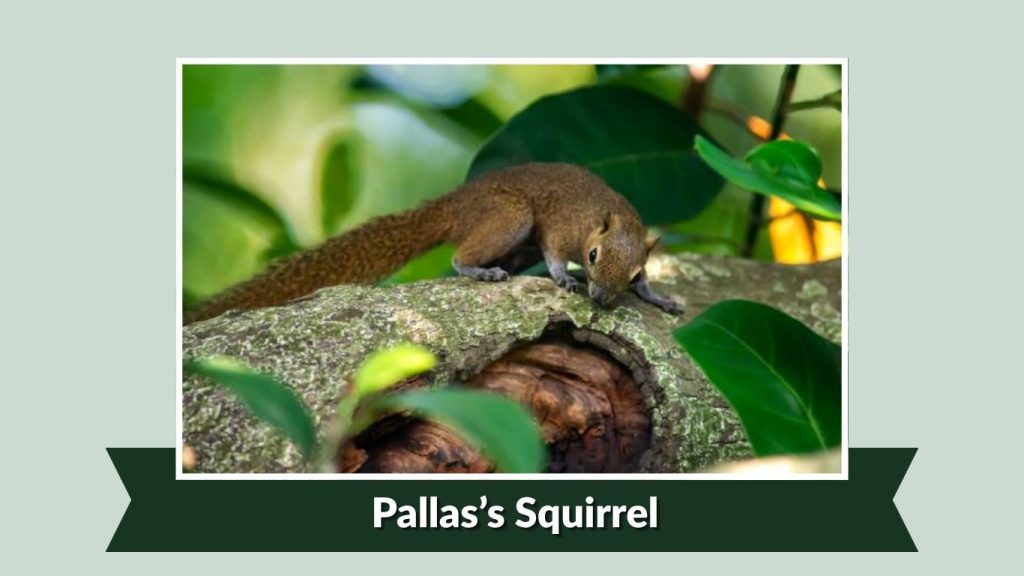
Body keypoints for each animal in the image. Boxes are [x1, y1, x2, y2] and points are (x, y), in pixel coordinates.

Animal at [184, 162, 683, 324]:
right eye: (593, 256)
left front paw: (658, 297)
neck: (607, 218)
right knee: (462, 255)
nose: (600, 299)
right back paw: (478, 269)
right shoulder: (562, 226)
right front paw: (564, 277)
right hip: (510, 216)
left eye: (632, 273)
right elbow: (556, 254)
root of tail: (453, 204)